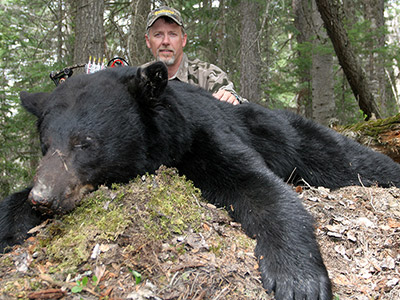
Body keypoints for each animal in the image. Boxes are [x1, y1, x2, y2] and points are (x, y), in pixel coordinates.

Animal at [0, 61, 400, 300]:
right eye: (45, 143)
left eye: (84, 142)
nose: (43, 197)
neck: (166, 143)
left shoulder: (202, 137)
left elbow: (260, 187)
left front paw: (298, 279)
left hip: (296, 138)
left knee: (347, 160)